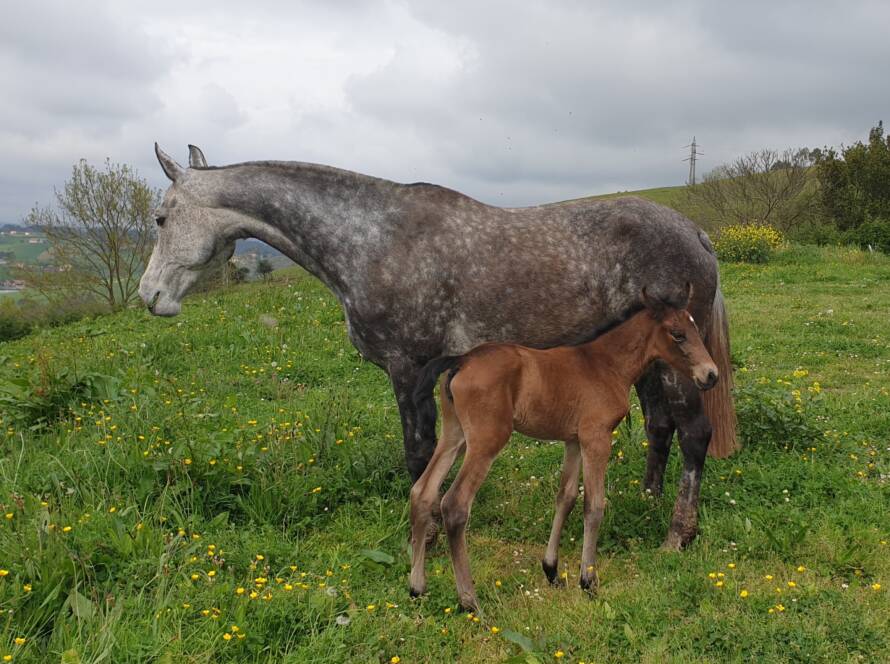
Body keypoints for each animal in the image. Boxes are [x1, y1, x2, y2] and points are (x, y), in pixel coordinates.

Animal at [139, 143, 736, 550]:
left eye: (161, 218)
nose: (150, 296)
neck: (375, 238)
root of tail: (696, 233)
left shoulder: (409, 370)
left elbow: (418, 454)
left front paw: (421, 536)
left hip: (682, 365)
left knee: (694, 435)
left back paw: (677, 534)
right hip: (653, 361)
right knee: (660, 426)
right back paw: (647, 500)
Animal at [408, 285, 717, 611]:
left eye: (695, 329)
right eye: (677, 334)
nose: (711, 374)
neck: (606, 365)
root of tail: (462, 360)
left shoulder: (574, 440)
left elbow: (565, 497)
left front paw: (552, 571)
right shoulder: (597, 437)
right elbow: (594, 505)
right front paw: (588, 581)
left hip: (454, 436)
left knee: (422, 492)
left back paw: (417, 587)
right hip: (486, 441)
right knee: (454, 505)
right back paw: (470, 600)